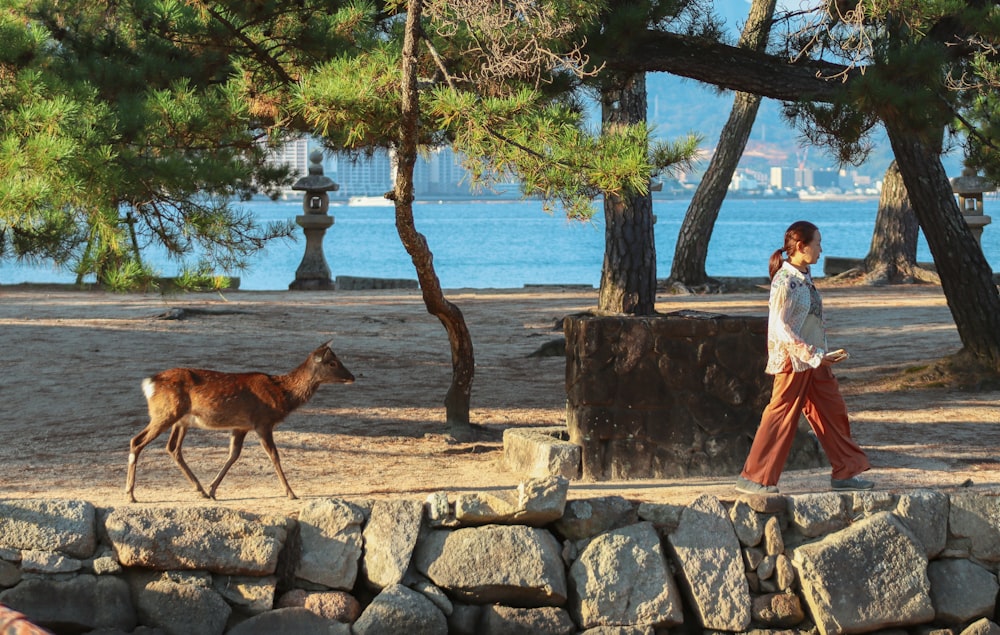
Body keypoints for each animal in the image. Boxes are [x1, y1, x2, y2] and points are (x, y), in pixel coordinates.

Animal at [124, 340, 354, 504]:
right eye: (332, 362)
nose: (352, 376)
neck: (282, 394)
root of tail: (149, 383)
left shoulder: (241, 426)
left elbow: (233, 455)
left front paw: (213, 489)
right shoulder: (263, 421)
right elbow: (274, 455)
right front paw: (291, 492)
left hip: (180, 421)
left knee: (172, 448)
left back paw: (200, 490)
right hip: (165, 413)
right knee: (137, 441)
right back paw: (130, 494)